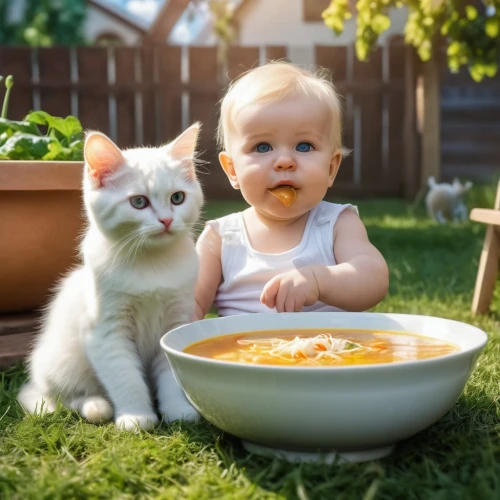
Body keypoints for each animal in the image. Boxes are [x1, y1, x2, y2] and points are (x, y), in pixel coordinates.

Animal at [18, 123, 204, 432]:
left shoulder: (176, 319)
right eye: (139, 202)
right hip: (62, 362)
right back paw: (95, 405)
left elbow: (172, 373)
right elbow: (125, 377)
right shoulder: (105, 332)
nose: (166, 220)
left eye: (177, 198)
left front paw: (178, 410)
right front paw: (136, 417)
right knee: (61, 397)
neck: (151, 263)